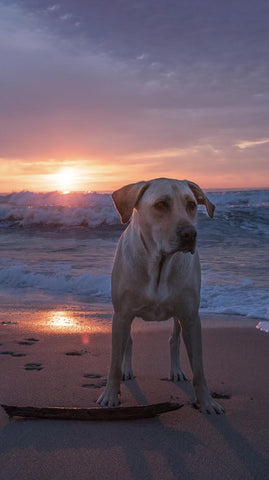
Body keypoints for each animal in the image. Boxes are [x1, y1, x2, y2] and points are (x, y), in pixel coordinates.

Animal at [97, 178, 223, 414]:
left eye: (192, 205)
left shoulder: (190, 317)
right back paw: (127, 369)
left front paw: (206, 401)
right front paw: (110, 394)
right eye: (161, 204)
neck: (159, 264)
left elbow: (199, 368)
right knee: (128, 341)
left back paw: (176, 371)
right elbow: (114, 362)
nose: (190, 234)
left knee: (174, 339)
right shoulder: (121, 315)